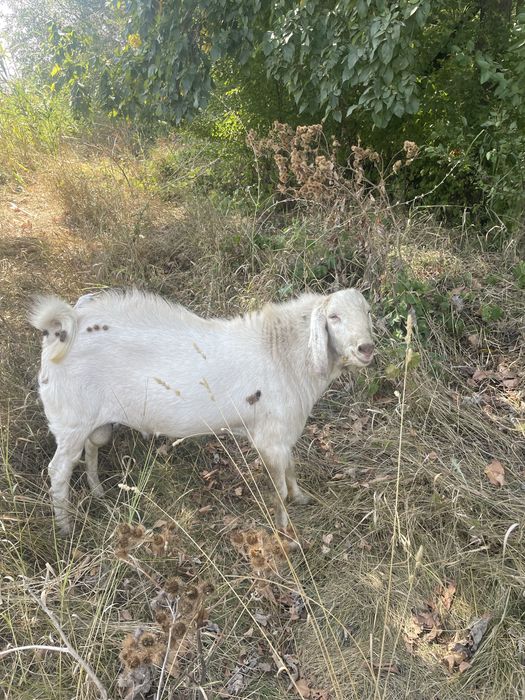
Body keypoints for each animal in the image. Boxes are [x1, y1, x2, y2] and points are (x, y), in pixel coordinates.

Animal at [30, 288, 375, 534]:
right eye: (333, 317)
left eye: (368, 312)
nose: (366, 348)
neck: (283, 353)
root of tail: (63, 326)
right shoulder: (271, 438)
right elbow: (278, 486)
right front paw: (284, 529)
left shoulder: (284, 434)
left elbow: (291, 469)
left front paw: (301, 497)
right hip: (70, 420)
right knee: (58, 470)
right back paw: (65, 526)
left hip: (95, 422)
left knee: (91, 448)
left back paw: (98, 491)